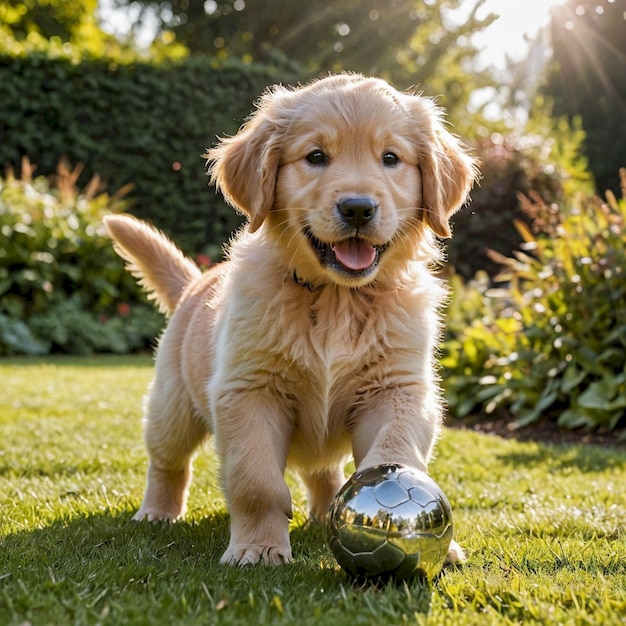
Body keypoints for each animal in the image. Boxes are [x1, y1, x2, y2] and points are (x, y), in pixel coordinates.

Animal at [105, 73, 476, 564]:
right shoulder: (249, 390)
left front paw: (435, 541)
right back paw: (157, 512)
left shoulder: (398, 389)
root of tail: (196, 282)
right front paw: (259, 548)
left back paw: (324, 513)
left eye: (391, 158)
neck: (337, 297)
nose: (358, 208)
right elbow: (256, 481)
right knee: (167, 461)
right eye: (315, 156)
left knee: (324, 472)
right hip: (172, 405)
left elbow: (395, 450)